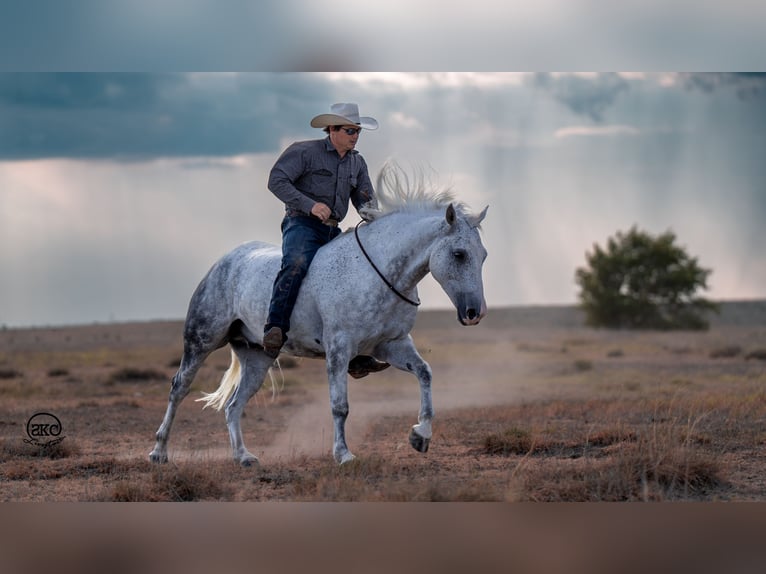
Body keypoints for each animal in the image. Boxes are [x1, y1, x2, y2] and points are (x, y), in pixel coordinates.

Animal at [147, 166, 488, 468]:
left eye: (483, 255)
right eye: (459, 254)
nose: (474, 313)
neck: (378, 273)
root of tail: (225, 261)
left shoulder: (392, 345)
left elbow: (425, 374)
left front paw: (420, 435)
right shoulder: (338, 349)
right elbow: (340, 406)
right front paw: (343, 455)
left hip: (257, 356)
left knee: (234, 406)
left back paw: (243, 457)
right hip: (202, 340)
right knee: (179, 388)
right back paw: (159, 452)